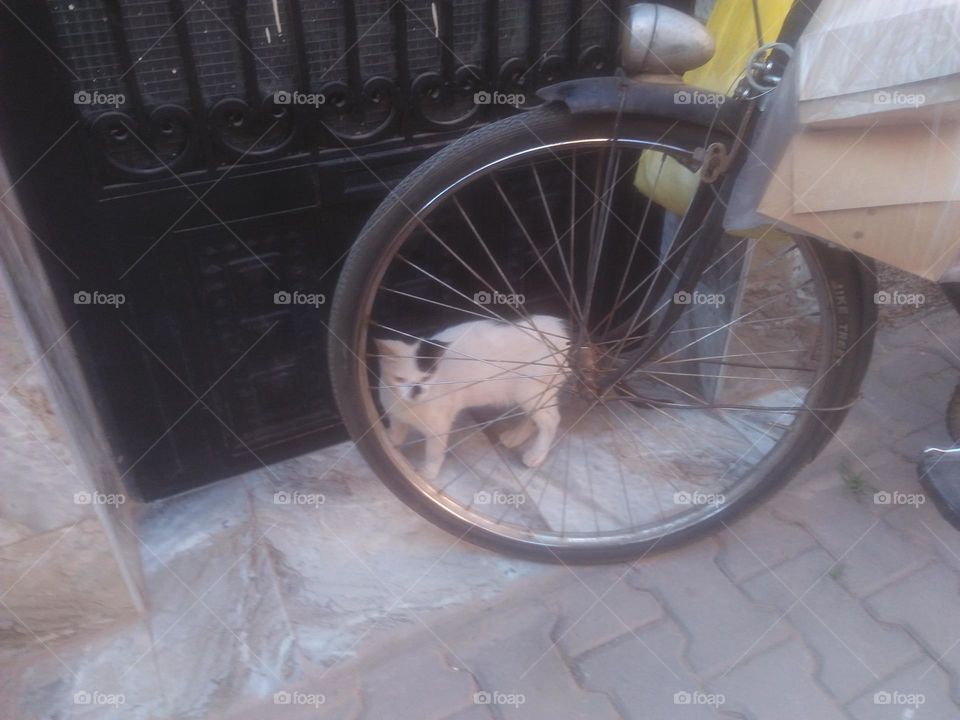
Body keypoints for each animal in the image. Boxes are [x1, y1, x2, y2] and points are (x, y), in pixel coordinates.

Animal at [376, 316, 568, 478]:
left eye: (426, 377)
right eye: (400, 379)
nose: (416, 389)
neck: (407, 405)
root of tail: (557, 326)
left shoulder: (438, 427)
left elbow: (434, 453)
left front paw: (428, 473)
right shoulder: (395, 414)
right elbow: (396, 431)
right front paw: (390, 440)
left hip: (530, 391)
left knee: (552, 419)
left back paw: (536, 455)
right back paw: (515, 437)